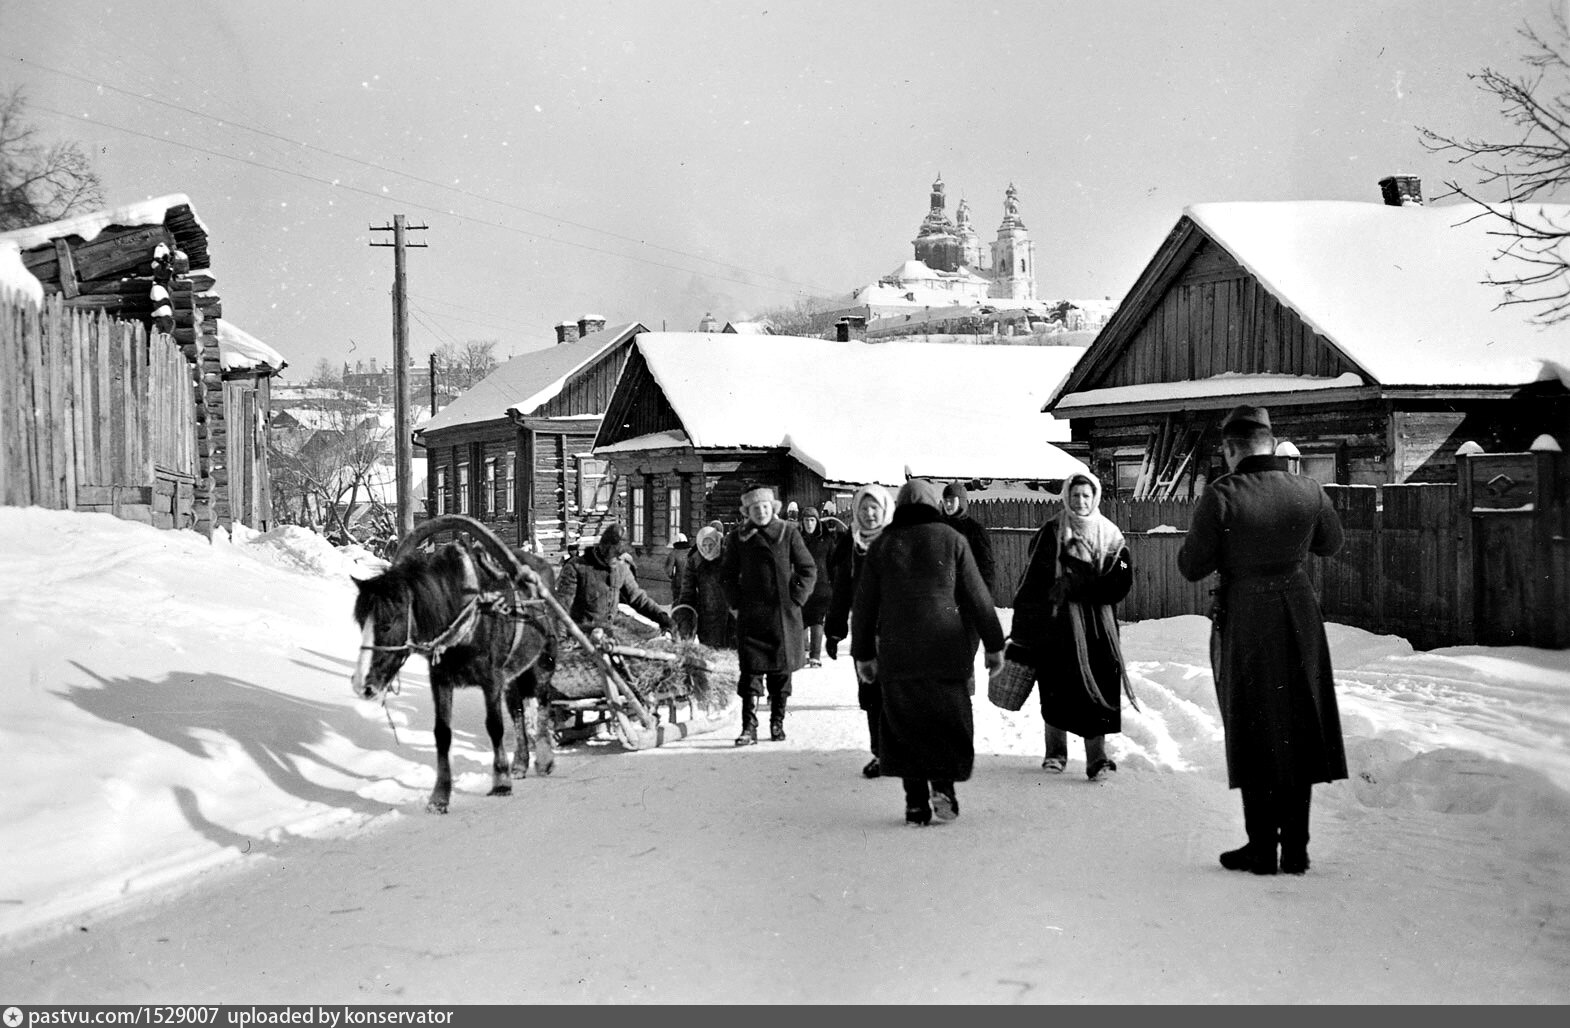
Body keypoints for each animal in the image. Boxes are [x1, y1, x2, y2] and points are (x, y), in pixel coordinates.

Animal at [353, 539, 562, 809]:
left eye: (387, 623)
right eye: (360, 623)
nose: (362, 685)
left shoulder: (491, 680)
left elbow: (494, 726)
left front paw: (501, 781)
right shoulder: (440, 680)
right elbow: (442, 733)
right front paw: (440, 795)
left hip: (542, 662)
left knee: (543, 700)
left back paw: (544, 759)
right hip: (513, 674)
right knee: (517, 709)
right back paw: (520, 763)